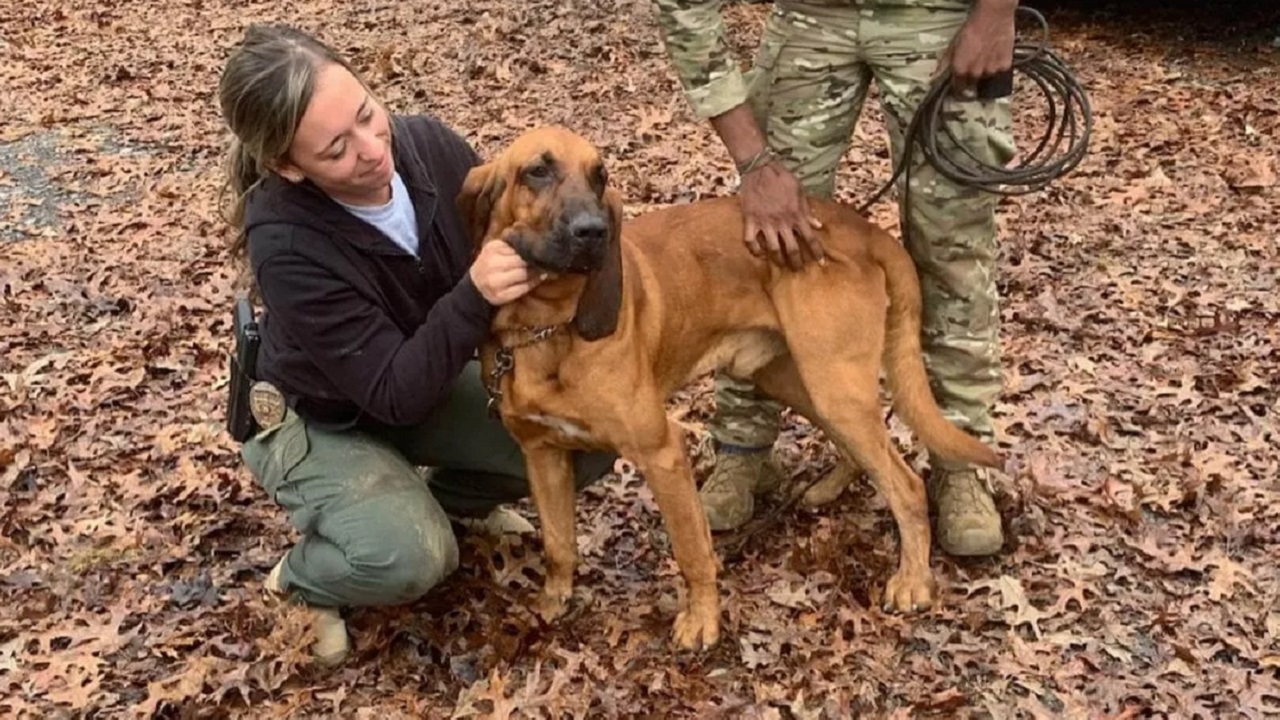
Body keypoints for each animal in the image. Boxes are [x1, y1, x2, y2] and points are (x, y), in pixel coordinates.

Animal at [455, 126, 1003, 648]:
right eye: (537, 171)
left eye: (600, 176)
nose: (594, 231)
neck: (545, 328)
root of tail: (864, 229)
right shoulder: (541, 453)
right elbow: (557, 543)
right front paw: (554, 600)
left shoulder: (662, 452)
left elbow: (692, 550)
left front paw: (702, 621)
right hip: (800, 380)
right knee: (863, 454)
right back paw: (829, 488)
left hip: (834, 384)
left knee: (906, 485)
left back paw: (913, 580)